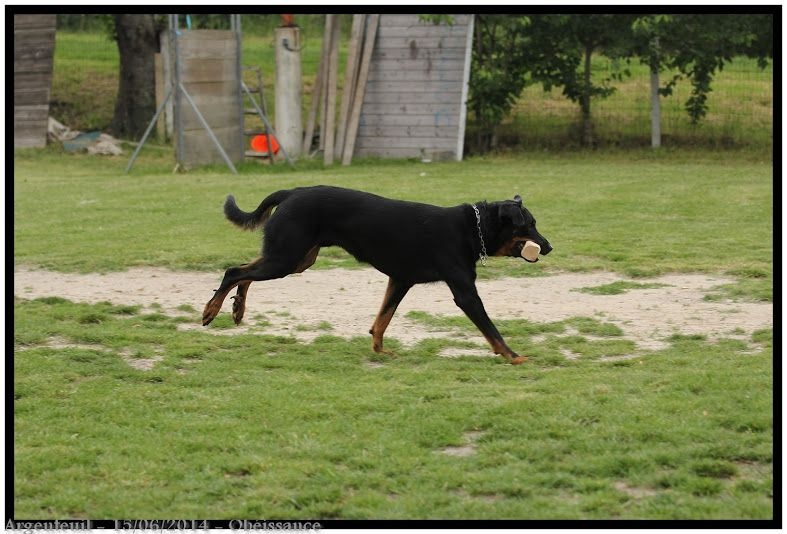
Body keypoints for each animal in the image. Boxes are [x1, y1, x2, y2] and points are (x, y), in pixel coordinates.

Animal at [200, 186, 552, 366]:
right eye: (528, 224)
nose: (548, 247)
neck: (471, 228)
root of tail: (292, 192)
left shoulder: (400, 280)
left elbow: (382, 320)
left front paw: (380, 350)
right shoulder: (465, 292)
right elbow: (492, 330)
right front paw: (514, 356)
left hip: (295, 259)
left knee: (245, 272)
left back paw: (237, 308)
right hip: (286, 259)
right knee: (234, 271)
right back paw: (211, 309)